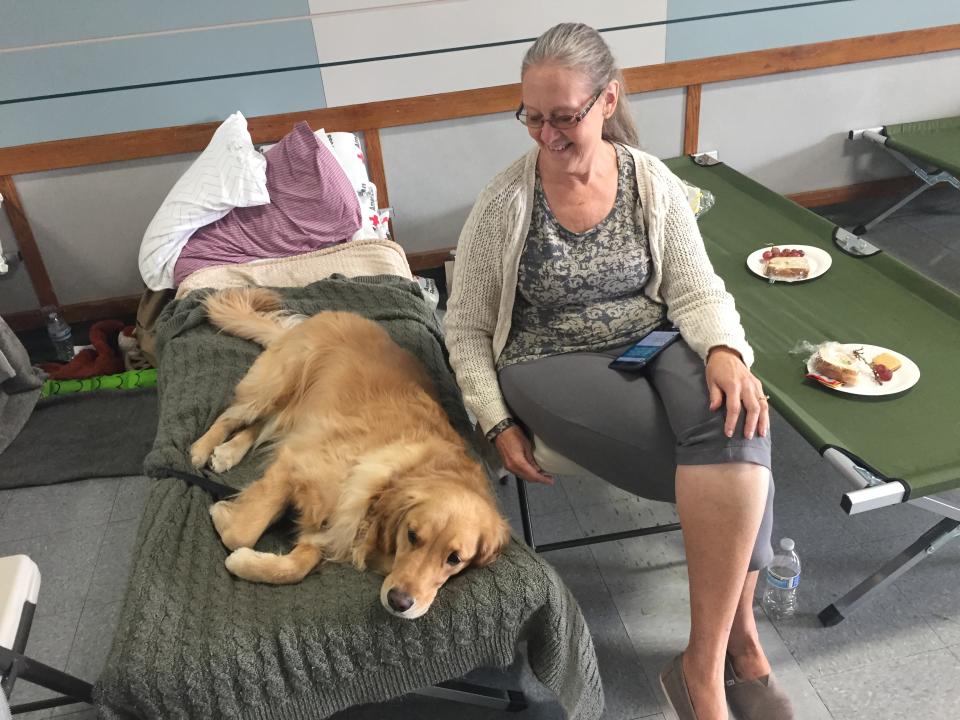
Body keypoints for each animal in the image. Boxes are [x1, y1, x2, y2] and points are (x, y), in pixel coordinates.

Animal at [187, 286, 510, 620]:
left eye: (454, 559)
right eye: (411, 535)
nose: (399, 602)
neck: (393, 479)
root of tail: (325, 316)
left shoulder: (333, 527)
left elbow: (298, 565)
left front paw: (249, 560)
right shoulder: (295, 467)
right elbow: (242, 532)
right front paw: (223, 515)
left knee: (260, 426)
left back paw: (228, 452)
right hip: (276, 384)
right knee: (231, 415)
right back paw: (202, 449)